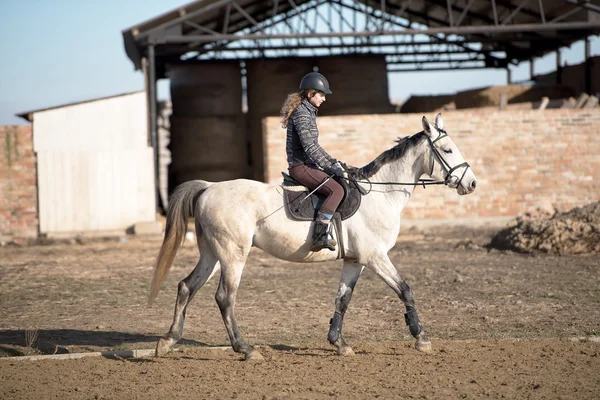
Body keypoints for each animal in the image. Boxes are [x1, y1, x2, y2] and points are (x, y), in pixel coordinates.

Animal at [151, 114, 478, 360]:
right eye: (448, 150)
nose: (472, 183)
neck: (380, 194)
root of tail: (209, 187)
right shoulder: (376, 257)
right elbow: (405, 290)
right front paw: (421, 338)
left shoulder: (355, 261)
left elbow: (343, 299)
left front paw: (339, 343)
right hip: (233, 256)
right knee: (224, 297)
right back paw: (245, 349)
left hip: (212, 255)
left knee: (186, 287)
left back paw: (168, 341)